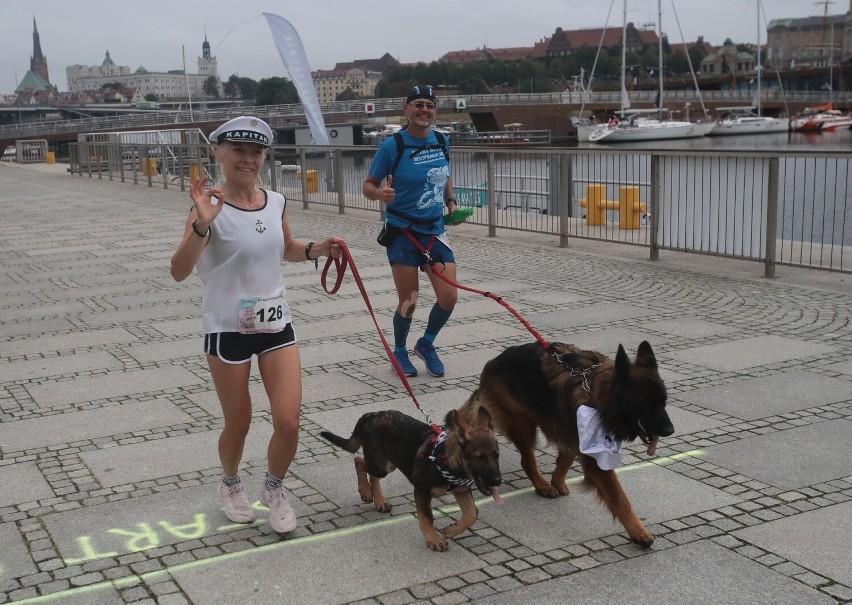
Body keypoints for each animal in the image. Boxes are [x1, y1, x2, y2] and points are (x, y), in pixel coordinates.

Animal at [322, 406, 502, 552]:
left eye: (496, 454)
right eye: (478, 457)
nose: (497, 480)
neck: (446, 460)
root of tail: (371, 415)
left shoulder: (461, 490)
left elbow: (472, 513)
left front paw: (451, 530)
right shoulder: (421, 490)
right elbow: (427, 517)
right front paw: (433, 539)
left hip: (389, 463)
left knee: (371, 473)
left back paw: (379, 500)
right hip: (380, 464)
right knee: (358, 461)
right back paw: (365, 492)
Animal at [462, 340, 676, 548]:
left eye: (664, 401)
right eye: (644, 402)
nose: (670, 430)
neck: (596, 394)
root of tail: (493, 362)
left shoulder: (574, 433)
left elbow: (566, 457)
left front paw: (557, 481)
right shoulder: (594, 460)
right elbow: (620, 499)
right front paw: (638, 531)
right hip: (523, 424)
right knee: (527, 460)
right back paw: (541, 485)